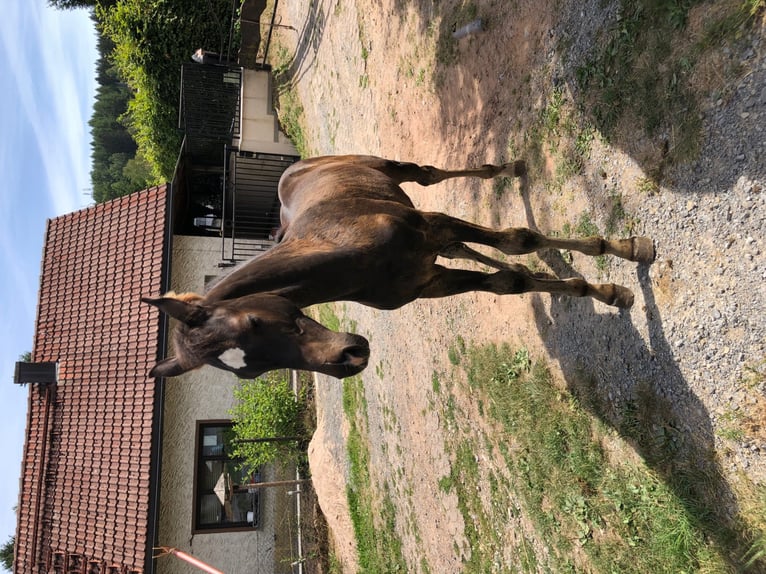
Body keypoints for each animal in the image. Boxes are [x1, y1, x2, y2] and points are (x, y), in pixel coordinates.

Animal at [144, 155, 656, 380]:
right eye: (248, 375)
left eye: (253, 321)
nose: (348, 361)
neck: (349, 253)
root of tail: (293, 168)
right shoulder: (428, 280)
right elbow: (509, 278)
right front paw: (594, 288)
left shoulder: (434, 225)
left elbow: (519, 240)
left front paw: (626, 258)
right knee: (470, 252)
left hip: (389, 168)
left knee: (427, 173)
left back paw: (508, 167)